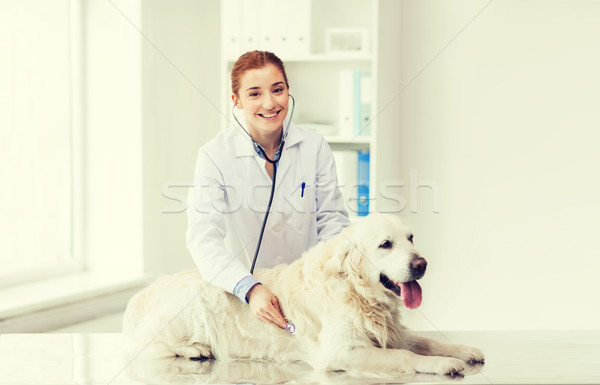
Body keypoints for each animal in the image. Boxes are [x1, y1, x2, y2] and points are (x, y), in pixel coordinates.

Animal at [122, 213, 482, 376]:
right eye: (385, 244)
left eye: (411, 238)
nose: (421, 264)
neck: (358, 292)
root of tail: (142, 294)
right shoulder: (341, 352)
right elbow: (405, 356)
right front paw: (443, 364)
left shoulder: (394, 331)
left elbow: (426, 341)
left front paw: (461, 350)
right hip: (189, 304)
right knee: (150, 345)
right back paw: (196, 349)